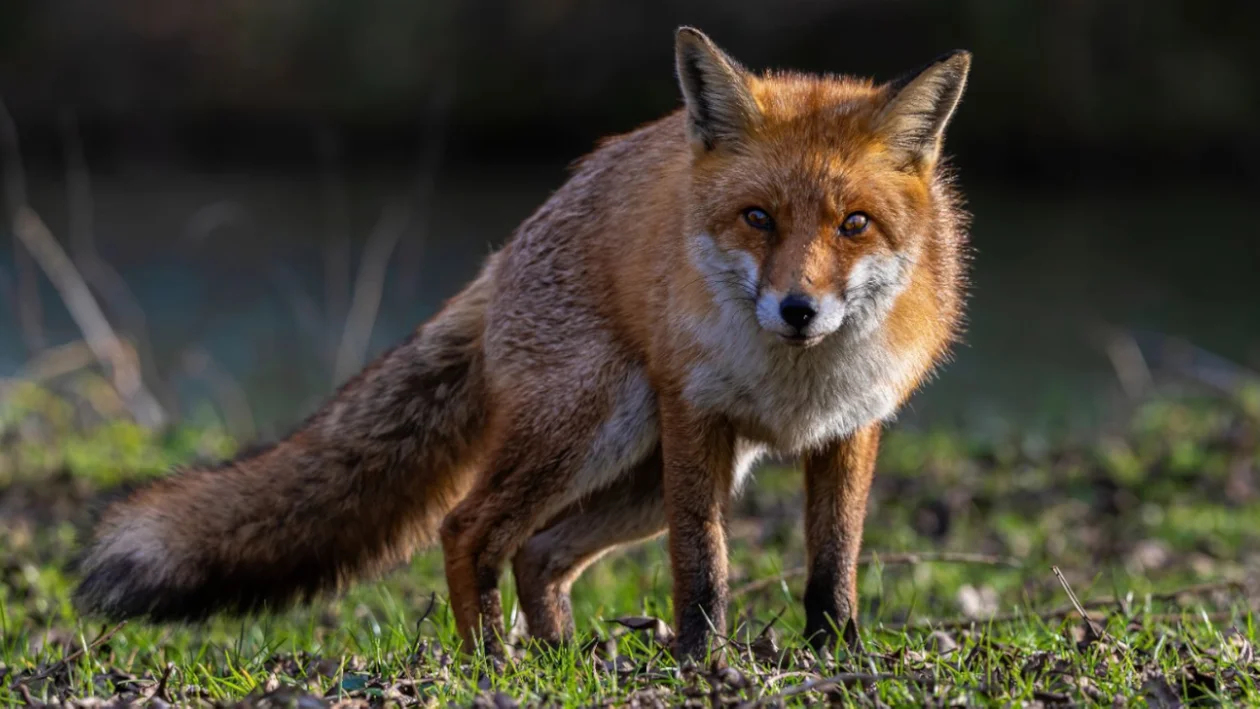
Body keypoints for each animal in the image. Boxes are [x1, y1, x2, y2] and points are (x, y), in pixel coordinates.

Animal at [73, 26, 967, 659]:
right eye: (758, 218)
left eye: (854, 224)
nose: (798, 309)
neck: (795, 382)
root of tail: (504, 253)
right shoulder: (696, 416)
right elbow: (703, 564)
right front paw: (701, 658)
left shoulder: (851, 427)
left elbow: (833, 562)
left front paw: (835, 653)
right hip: (601, 429)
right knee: (469, 527)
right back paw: (491, 660)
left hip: (642, 473)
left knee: (538, 550)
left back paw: (562, 655)